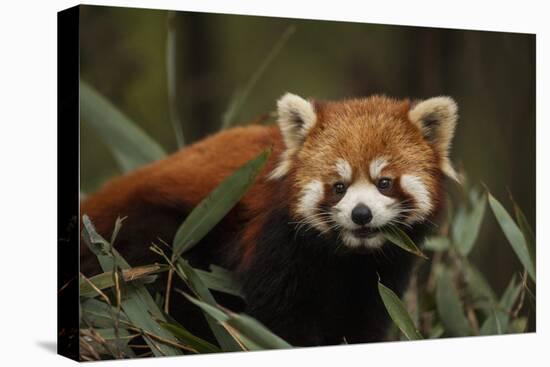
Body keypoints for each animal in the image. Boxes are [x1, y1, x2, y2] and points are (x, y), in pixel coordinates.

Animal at [81, 93, 462, 346]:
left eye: (384, 182)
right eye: (338, 187)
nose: (361, 214)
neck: (346, 256)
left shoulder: (380, 274)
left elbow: (365, 318)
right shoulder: (276, 243)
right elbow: (279, 318)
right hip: (154, 236)